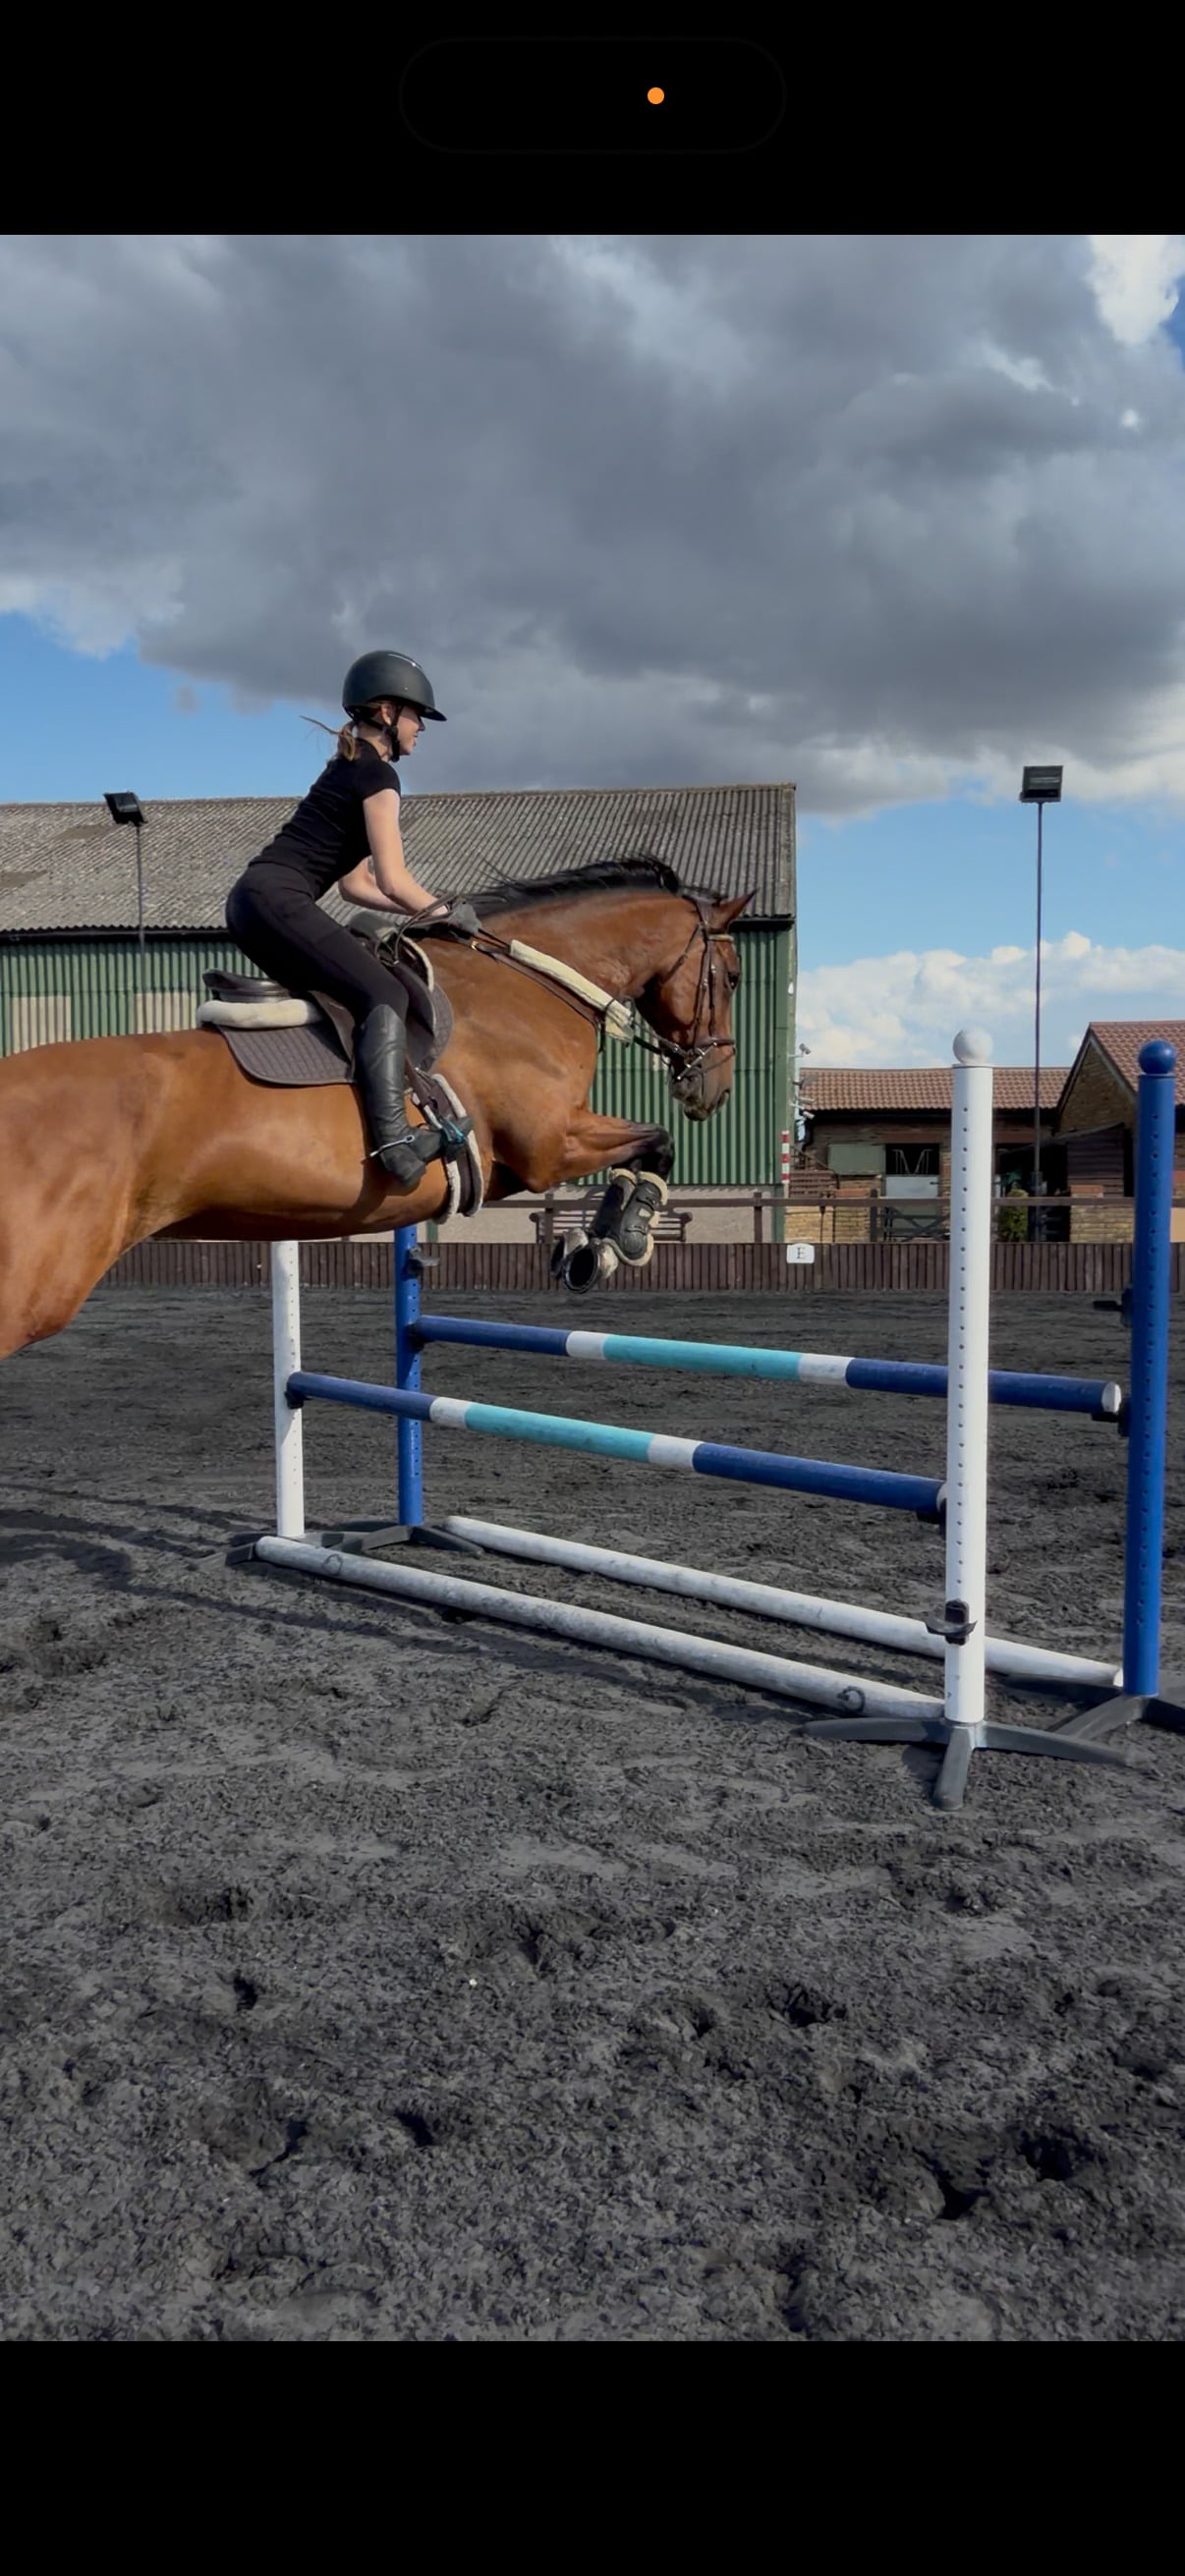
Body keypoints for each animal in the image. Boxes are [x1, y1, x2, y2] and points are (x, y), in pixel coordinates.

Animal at [0, 859, 752, 1359]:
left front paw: (596, 1246)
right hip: (33, 1288)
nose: (712, 1087)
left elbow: (648, 1147)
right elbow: (655, 1143)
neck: (529, 982)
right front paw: (615, 1242)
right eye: (734, 976)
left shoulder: (530, 1159)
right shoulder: (548, 1146)